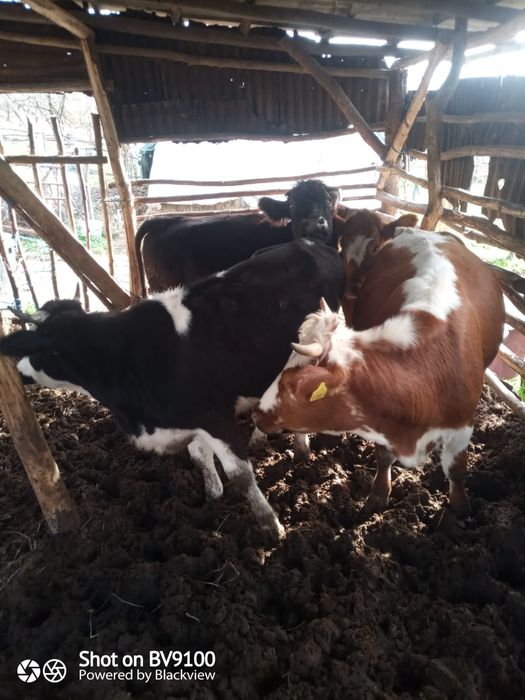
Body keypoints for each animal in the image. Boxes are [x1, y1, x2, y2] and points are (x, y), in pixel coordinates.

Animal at [0, 239, 344, 539]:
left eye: (40, 350)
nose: (20, 371)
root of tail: (309, 243)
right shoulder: (189, 421)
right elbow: (199, 455)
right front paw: (212, 494)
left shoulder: (214, 416)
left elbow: (241, 475)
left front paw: (270, 524)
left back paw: (300, 447)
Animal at [253, 211, 505, 519]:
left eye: (297, 384)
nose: (256, 412)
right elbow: (383, 457)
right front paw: (377, 496)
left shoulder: (463, 426)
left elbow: (457, 470)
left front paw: (459, 510)